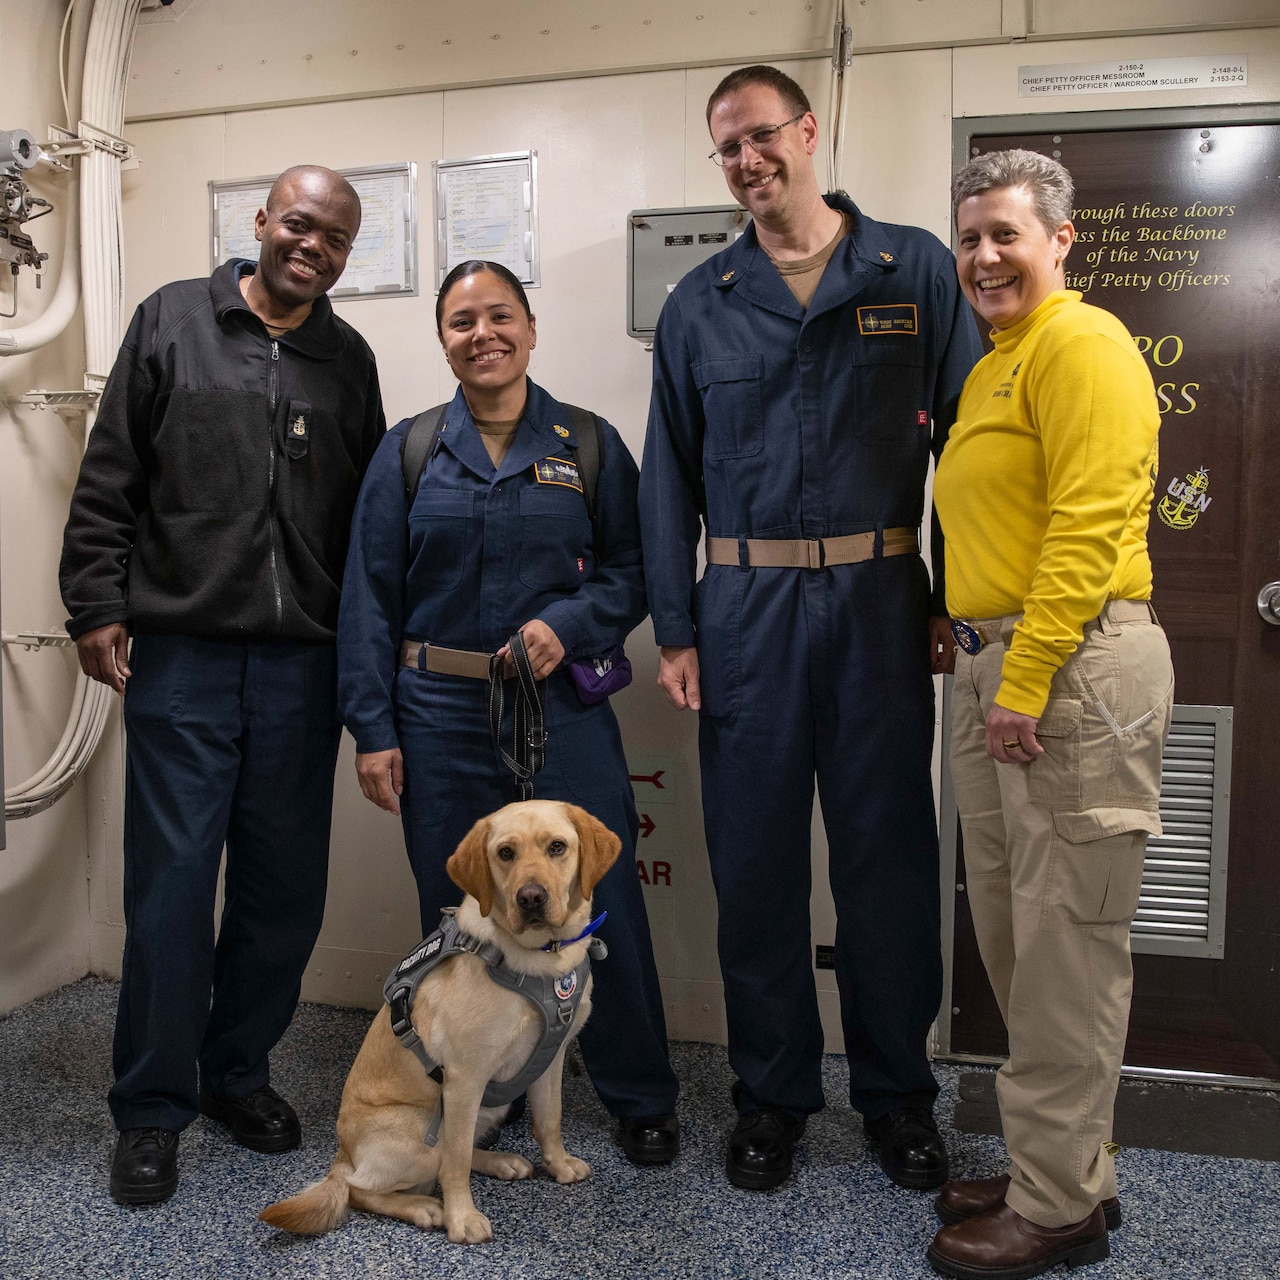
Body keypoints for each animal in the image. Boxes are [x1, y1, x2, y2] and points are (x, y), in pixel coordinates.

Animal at [257, 793, 616, 1244]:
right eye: (505, 853)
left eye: (557, 847)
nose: (531, 897)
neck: (541, 958)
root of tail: (343, 1155)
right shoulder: (464, 1078)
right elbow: (456, 1163)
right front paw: (462, 1217)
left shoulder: (550, 1058)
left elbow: (549, 1119)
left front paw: (560, 1163)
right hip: (422, 1131)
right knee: (367, 1187)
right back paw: (424, 1207)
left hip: (484, 1110)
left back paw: (500, 1161)